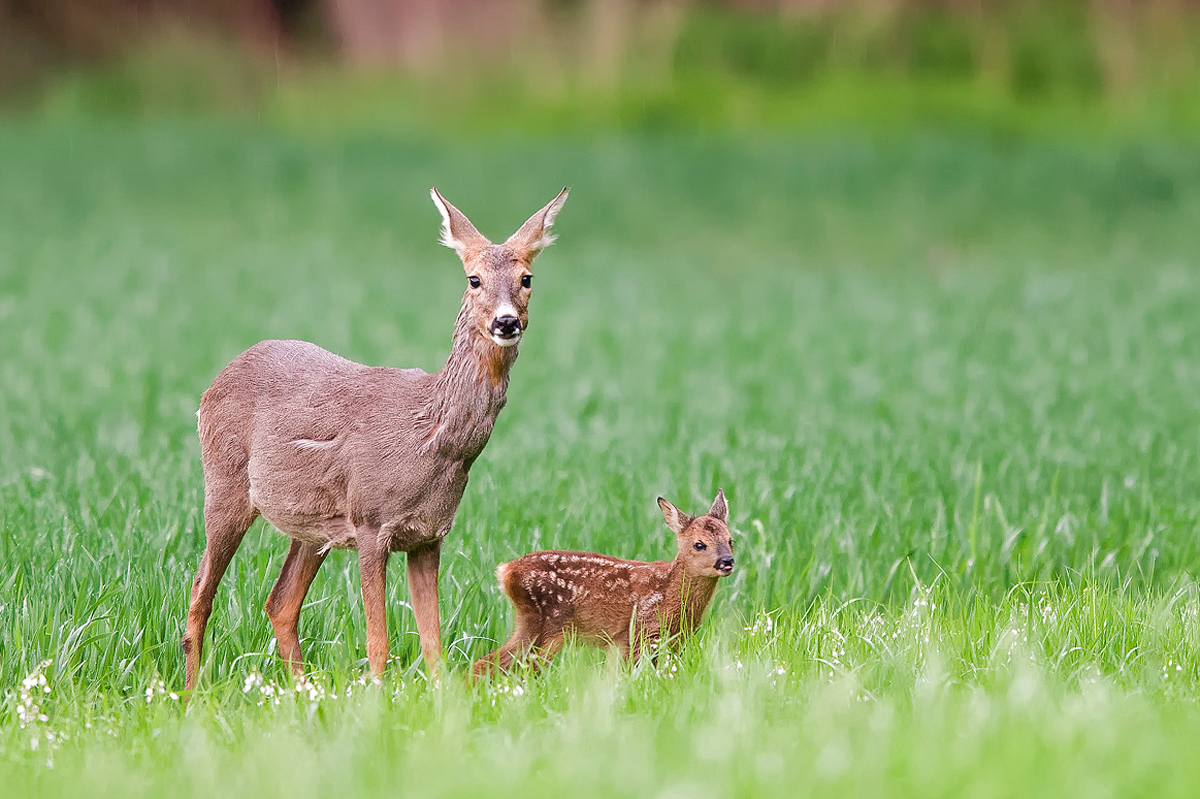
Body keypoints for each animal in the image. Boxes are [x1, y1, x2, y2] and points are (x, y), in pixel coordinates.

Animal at [181, 187, 566, 691]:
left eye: (526, 277)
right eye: (474, 279)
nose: (506, 323)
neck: (430, 436)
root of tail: (210, 387)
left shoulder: (428, 535)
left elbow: (434, 646)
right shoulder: (370, 521)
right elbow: (378, 642)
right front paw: (377, 701)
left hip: (314, 524)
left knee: (280, 602)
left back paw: (301, 690)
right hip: (225, 485)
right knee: (199, 591)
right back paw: (191, 694)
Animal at [472, 489, 734, 667]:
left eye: (731, 540)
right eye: (699, 544)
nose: (727, 561)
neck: (669, 591)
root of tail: (506, 571)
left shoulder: (676, 639)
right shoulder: (638, 633)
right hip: (548, 624)